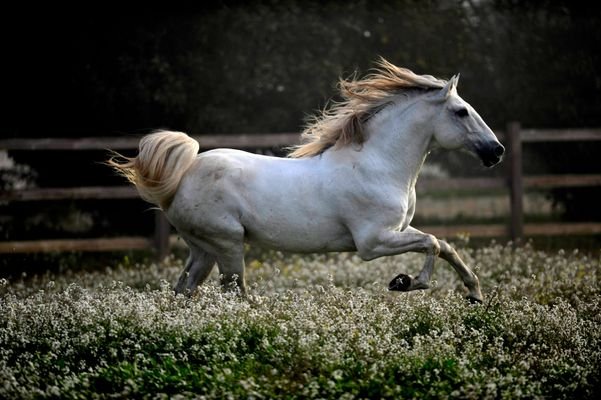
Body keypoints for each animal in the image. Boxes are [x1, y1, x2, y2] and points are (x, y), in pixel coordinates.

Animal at [109, 59, 502, 302]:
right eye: (461, 111)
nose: (495, 151)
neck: (379, 165)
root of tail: (183, 175)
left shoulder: (398, 230)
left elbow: (445, 245)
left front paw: (474, 294)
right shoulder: (372, 242)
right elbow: (432, 243)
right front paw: (406, 283)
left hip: (203, 249)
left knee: (184, 290)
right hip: (227, 244)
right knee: (233, 292)